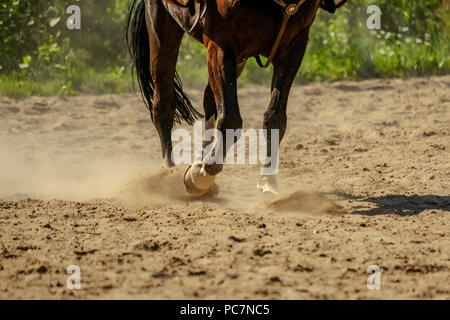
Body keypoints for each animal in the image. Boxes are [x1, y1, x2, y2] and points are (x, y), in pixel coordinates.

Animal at [126, 0, 348, 195]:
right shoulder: (221, 46)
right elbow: (231, 119)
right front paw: (203, 176)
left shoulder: (294, 48)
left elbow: (275, 117)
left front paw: (267, 180)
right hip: (162, 31)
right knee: (163, 103)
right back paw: (170, 170)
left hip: (239, 60)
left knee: (210, 103)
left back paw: (199, 160)